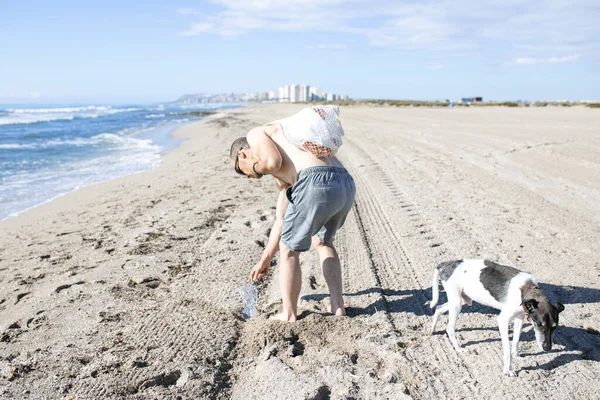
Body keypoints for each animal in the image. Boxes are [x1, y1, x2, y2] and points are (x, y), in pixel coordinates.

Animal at [432, 260, 564, 376]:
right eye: (539, 324)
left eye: (555, 327)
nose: (547, 348)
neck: (525, 290)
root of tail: (444, 264)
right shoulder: (503, 321)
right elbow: (507, 350)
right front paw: (508, 370)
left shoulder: (519, 318)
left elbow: (516, 341)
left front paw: (516, 355)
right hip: (457, 303)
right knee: (449, 328)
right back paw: (458, 348)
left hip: (463, 300)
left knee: (438, 307)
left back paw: (432, 329)